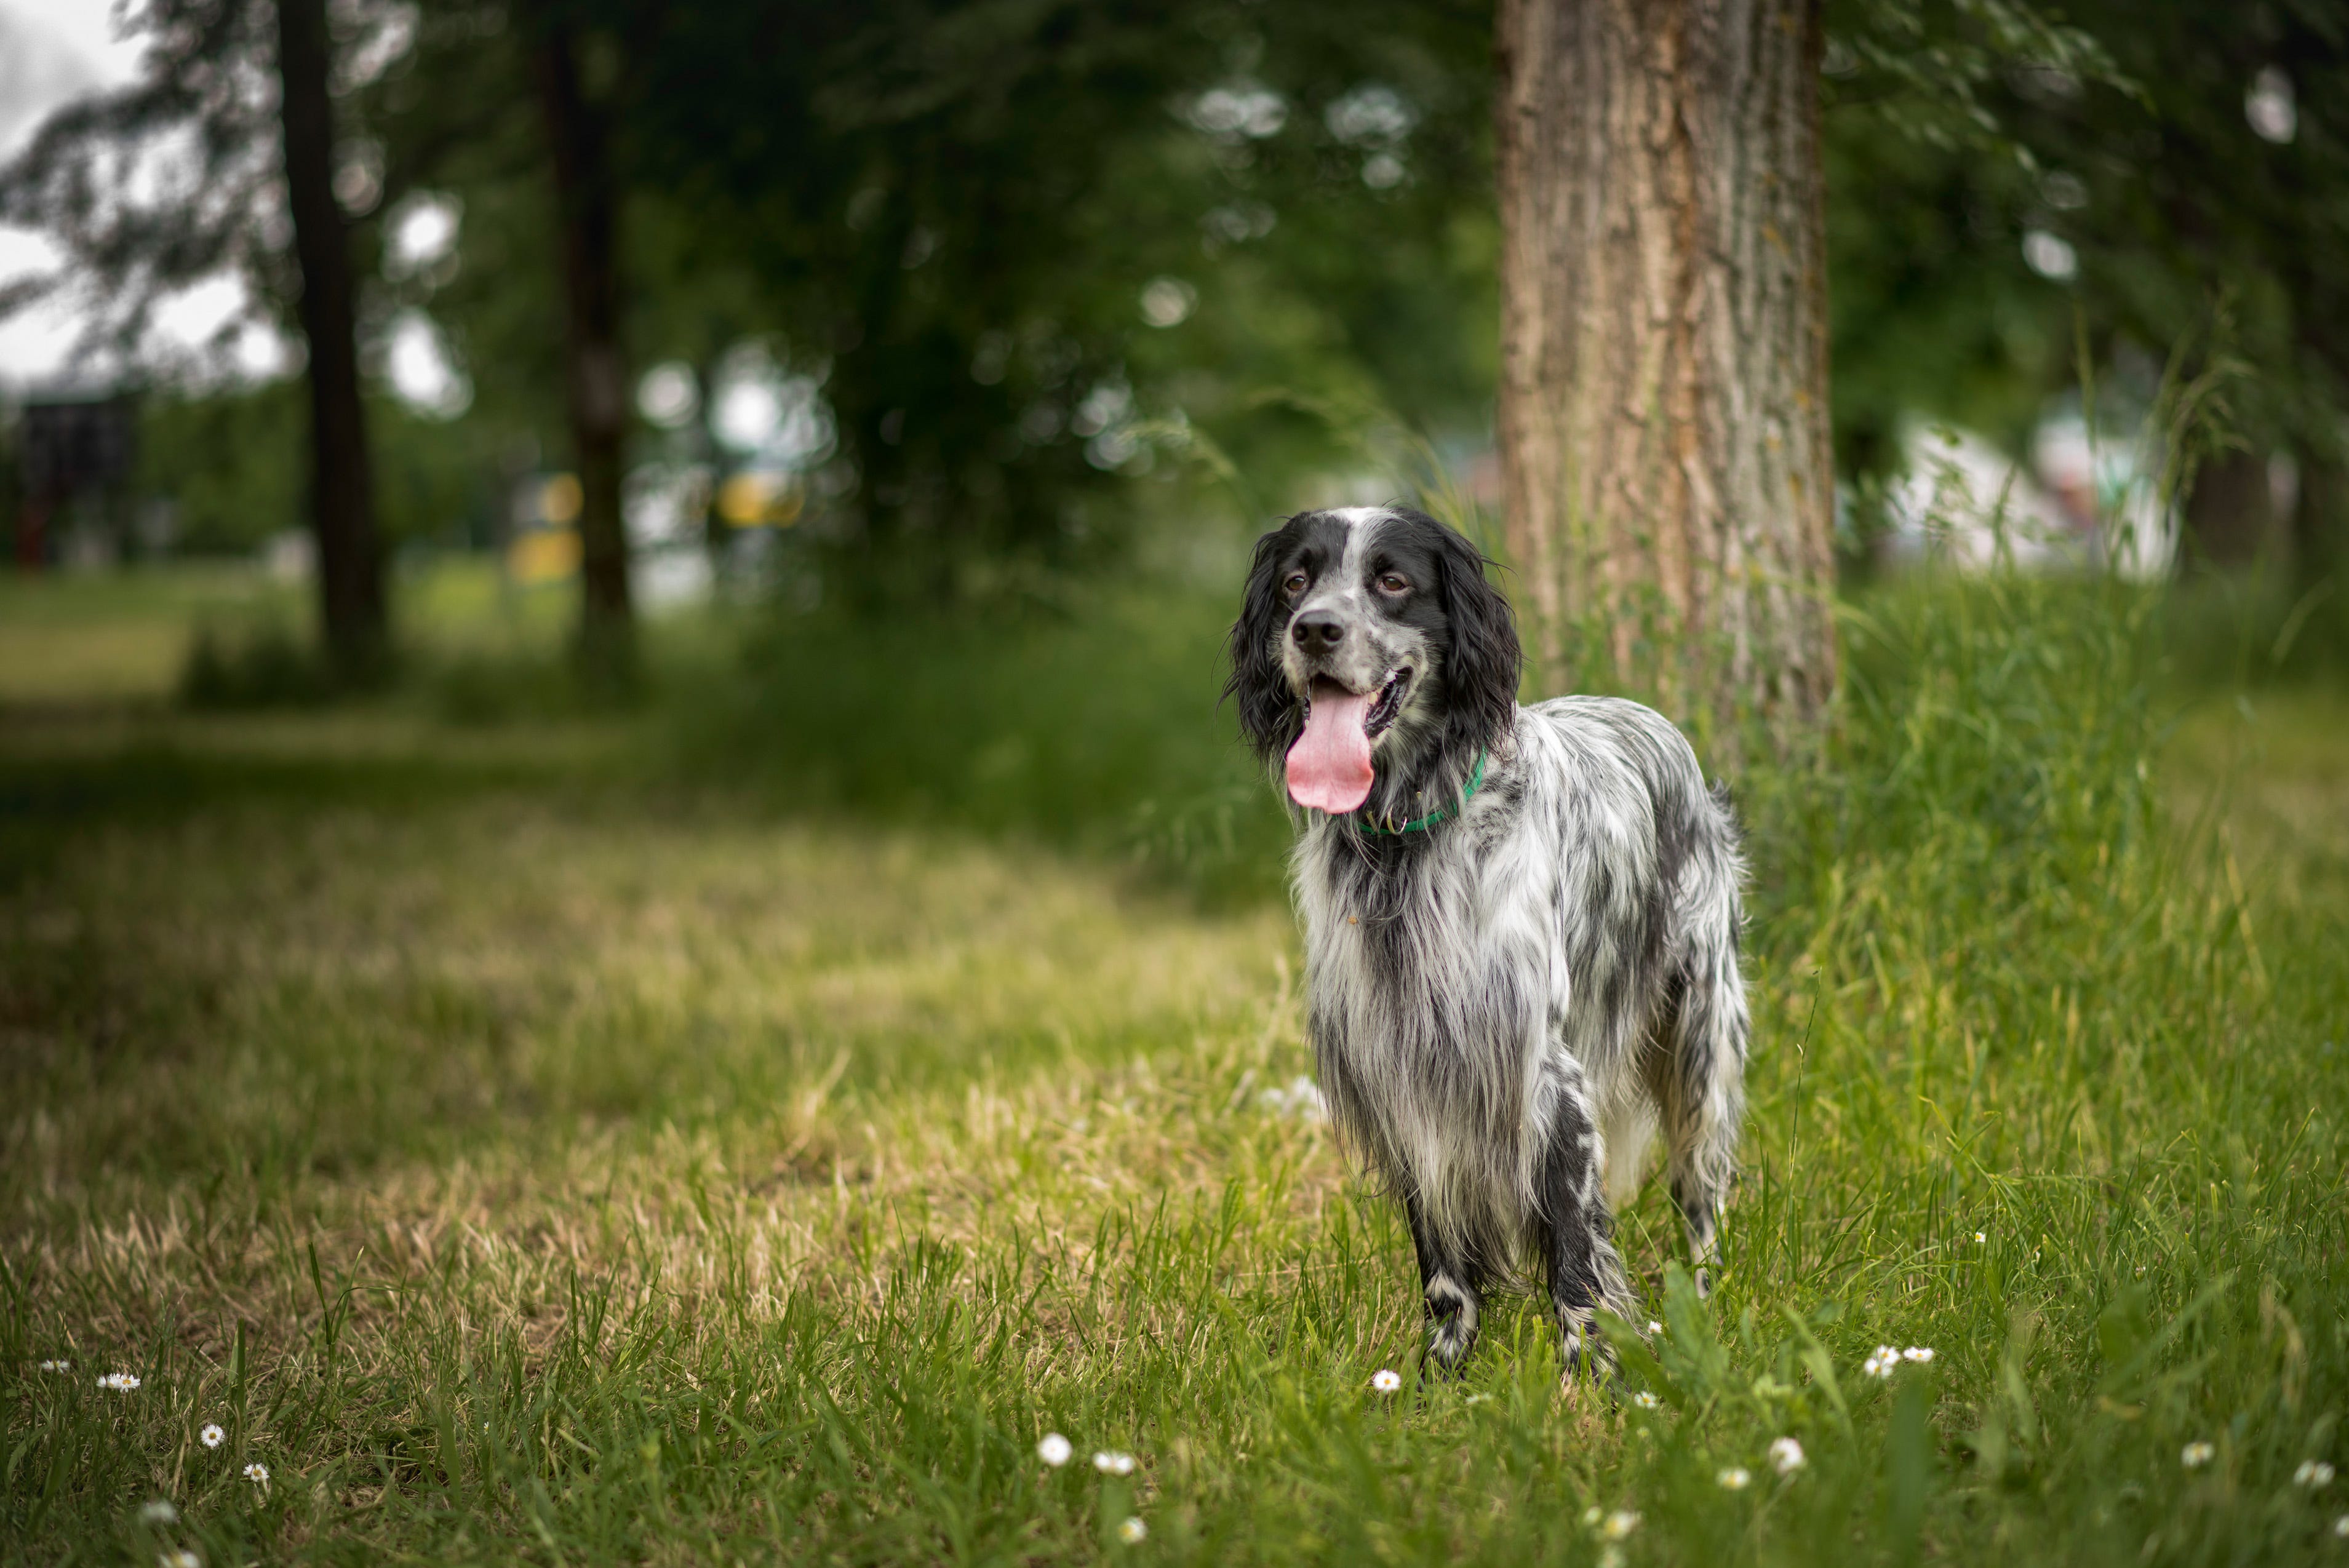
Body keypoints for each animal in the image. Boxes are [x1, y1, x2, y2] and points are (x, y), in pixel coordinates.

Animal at [1230, 509, 1747, 1380]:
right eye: (1296, 581)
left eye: (1391, 580)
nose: (1313, 630)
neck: (1406, 843)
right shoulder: (1402, 1072)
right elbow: (1442, 1264)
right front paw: (1439, 1375)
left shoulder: (1544, 1072)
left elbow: (1575, 1253)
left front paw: (1588, 1379)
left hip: (1701, 1040)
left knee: (1700, 1195)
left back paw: (1705, 1306)